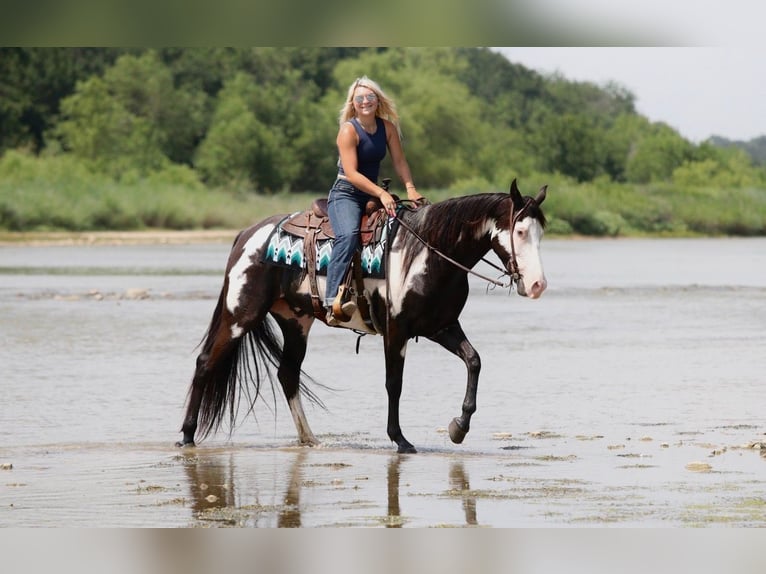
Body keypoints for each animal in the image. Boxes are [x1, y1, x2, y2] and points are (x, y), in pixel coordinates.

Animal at [176, 179, 548, 453]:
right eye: (519, 232)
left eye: (540, 233)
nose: (537, 285)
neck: (426, 253)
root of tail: (247, 235)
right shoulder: (396, 330)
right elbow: (394, 383)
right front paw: (400, 439)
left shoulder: (440, 326)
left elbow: (474, 361)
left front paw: (459, 427)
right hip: (240, 313)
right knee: (205, 362)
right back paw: (187, 436)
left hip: (295, 321)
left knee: (288, 374)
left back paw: (309, 439)